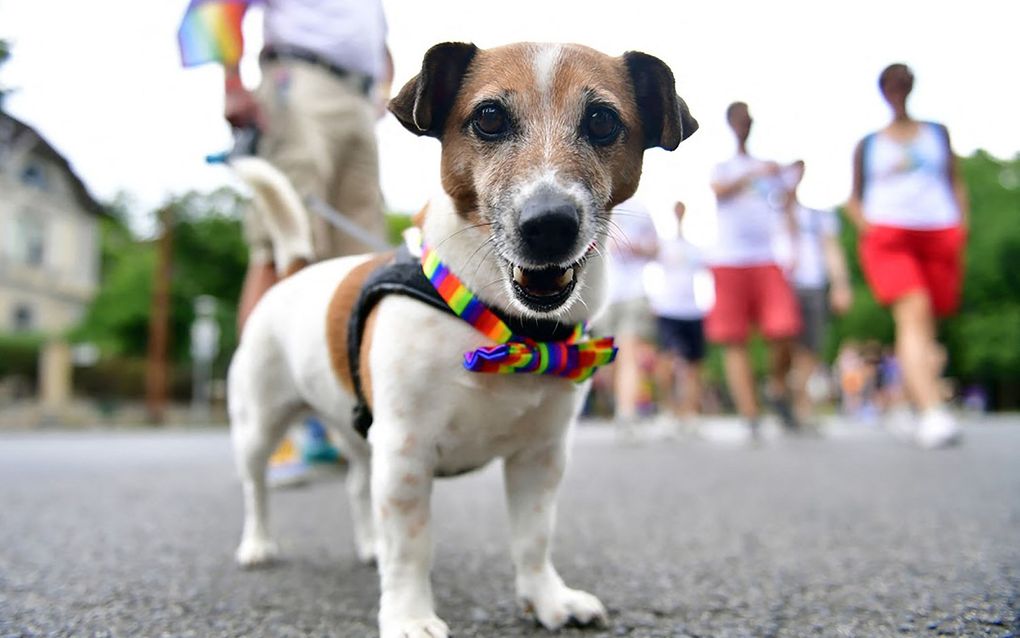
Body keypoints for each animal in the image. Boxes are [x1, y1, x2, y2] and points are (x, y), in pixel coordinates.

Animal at [227, 41, 697, 636]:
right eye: (489, 117)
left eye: (603, 121)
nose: (549, 224)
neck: (505, 329)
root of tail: (296, 273)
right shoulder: (405, 452)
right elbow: (411, 547)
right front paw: (409, 615)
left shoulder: (540, 458)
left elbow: (534, 538)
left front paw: (547, 599)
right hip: (259, 425)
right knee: (255, 486)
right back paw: (258, 544)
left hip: (358, 430)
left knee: (357, 484)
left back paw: (368, 546)